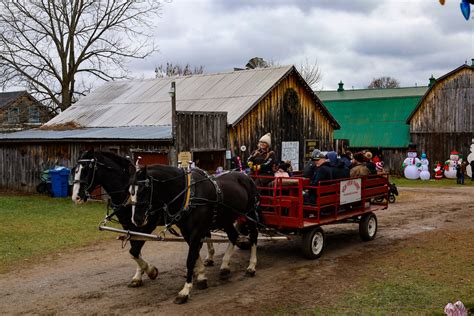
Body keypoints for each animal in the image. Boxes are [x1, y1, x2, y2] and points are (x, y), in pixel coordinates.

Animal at [130, 164, 260, 304]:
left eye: (144, 190)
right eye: (130, 192)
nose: (136, 219)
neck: (188, 195)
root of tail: (246, 176)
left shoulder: (196, 231)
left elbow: (190, 259)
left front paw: (185, 291)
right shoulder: (187, 233)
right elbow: (195, 254)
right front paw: (201, 276)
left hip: (250, 214)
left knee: (253, 235)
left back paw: (251, 267)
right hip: (226, 218)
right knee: (233, 235)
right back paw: (225, 266)